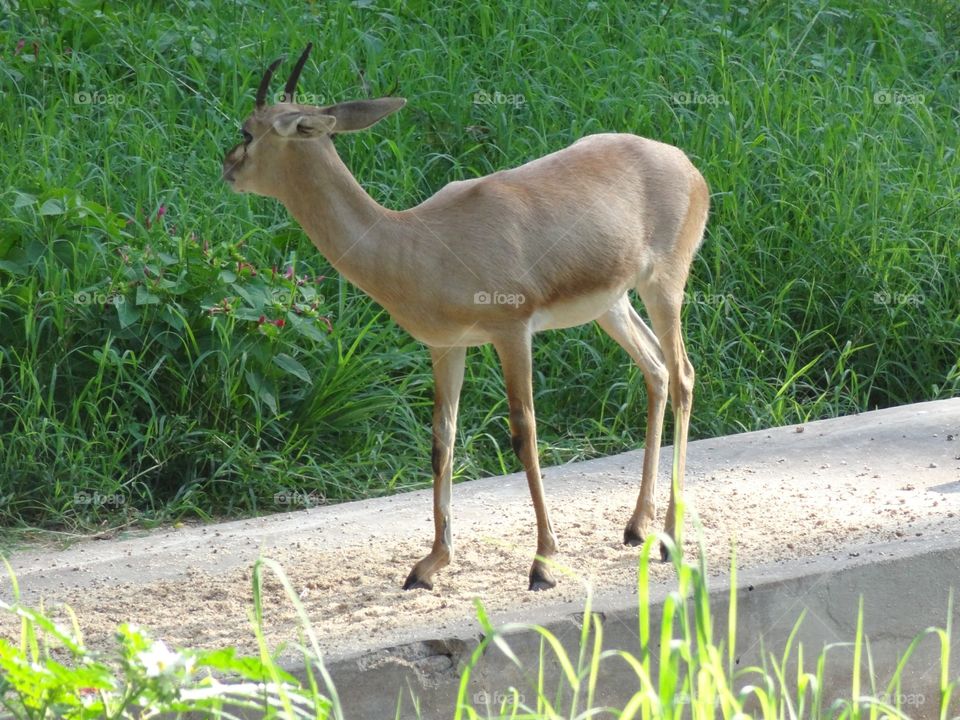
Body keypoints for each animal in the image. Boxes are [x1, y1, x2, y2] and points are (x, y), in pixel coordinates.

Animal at [222, 44, 709, 592]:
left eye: (248, 131)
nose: (227, 167)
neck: (415, 240)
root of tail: (685, 163)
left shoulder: (512, 332)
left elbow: (524, 435)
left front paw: (543, 563)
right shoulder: (446, 346)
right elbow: (442, 440)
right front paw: (430, 564)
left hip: (662, 287)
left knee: (683, 375)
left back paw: (670, 538)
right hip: (612, 305)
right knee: (656, 370)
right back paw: (636, 525)